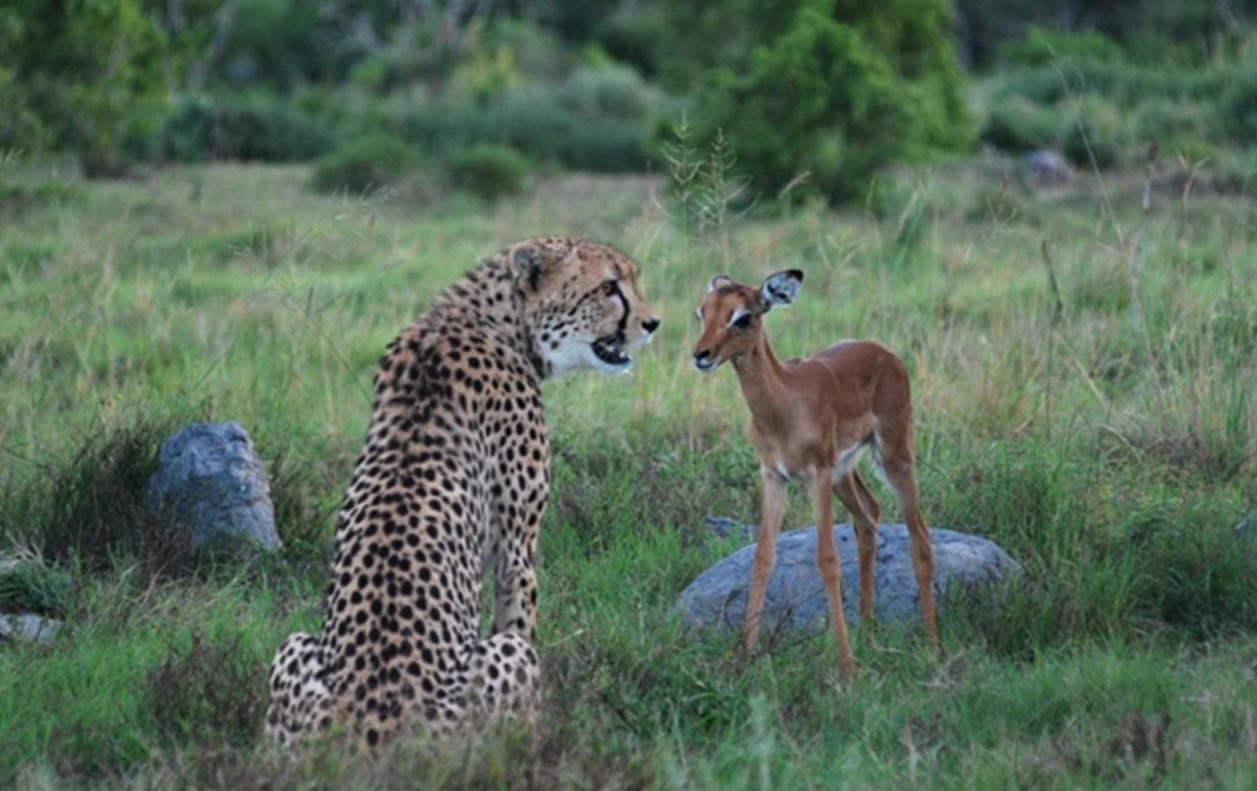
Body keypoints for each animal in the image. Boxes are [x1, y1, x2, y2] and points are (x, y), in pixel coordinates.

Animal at [265, 237, 658, 749]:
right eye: (610, 287)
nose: (652, 323)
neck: (492, 320)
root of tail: (374, 727)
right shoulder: (517, 549)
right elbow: (520, 617)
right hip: (500, 668)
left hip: (291, 648)